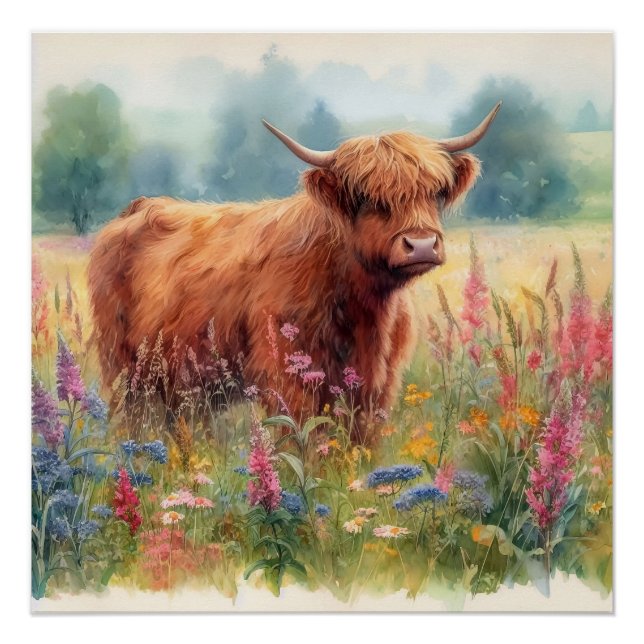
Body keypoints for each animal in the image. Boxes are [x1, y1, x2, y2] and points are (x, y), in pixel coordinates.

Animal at [88, 101, 501, 439]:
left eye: (435, 192)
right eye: (365, 197)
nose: (422, 244)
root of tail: (140, 206)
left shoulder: (377, 385)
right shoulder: (287, 375)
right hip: (125, 370)